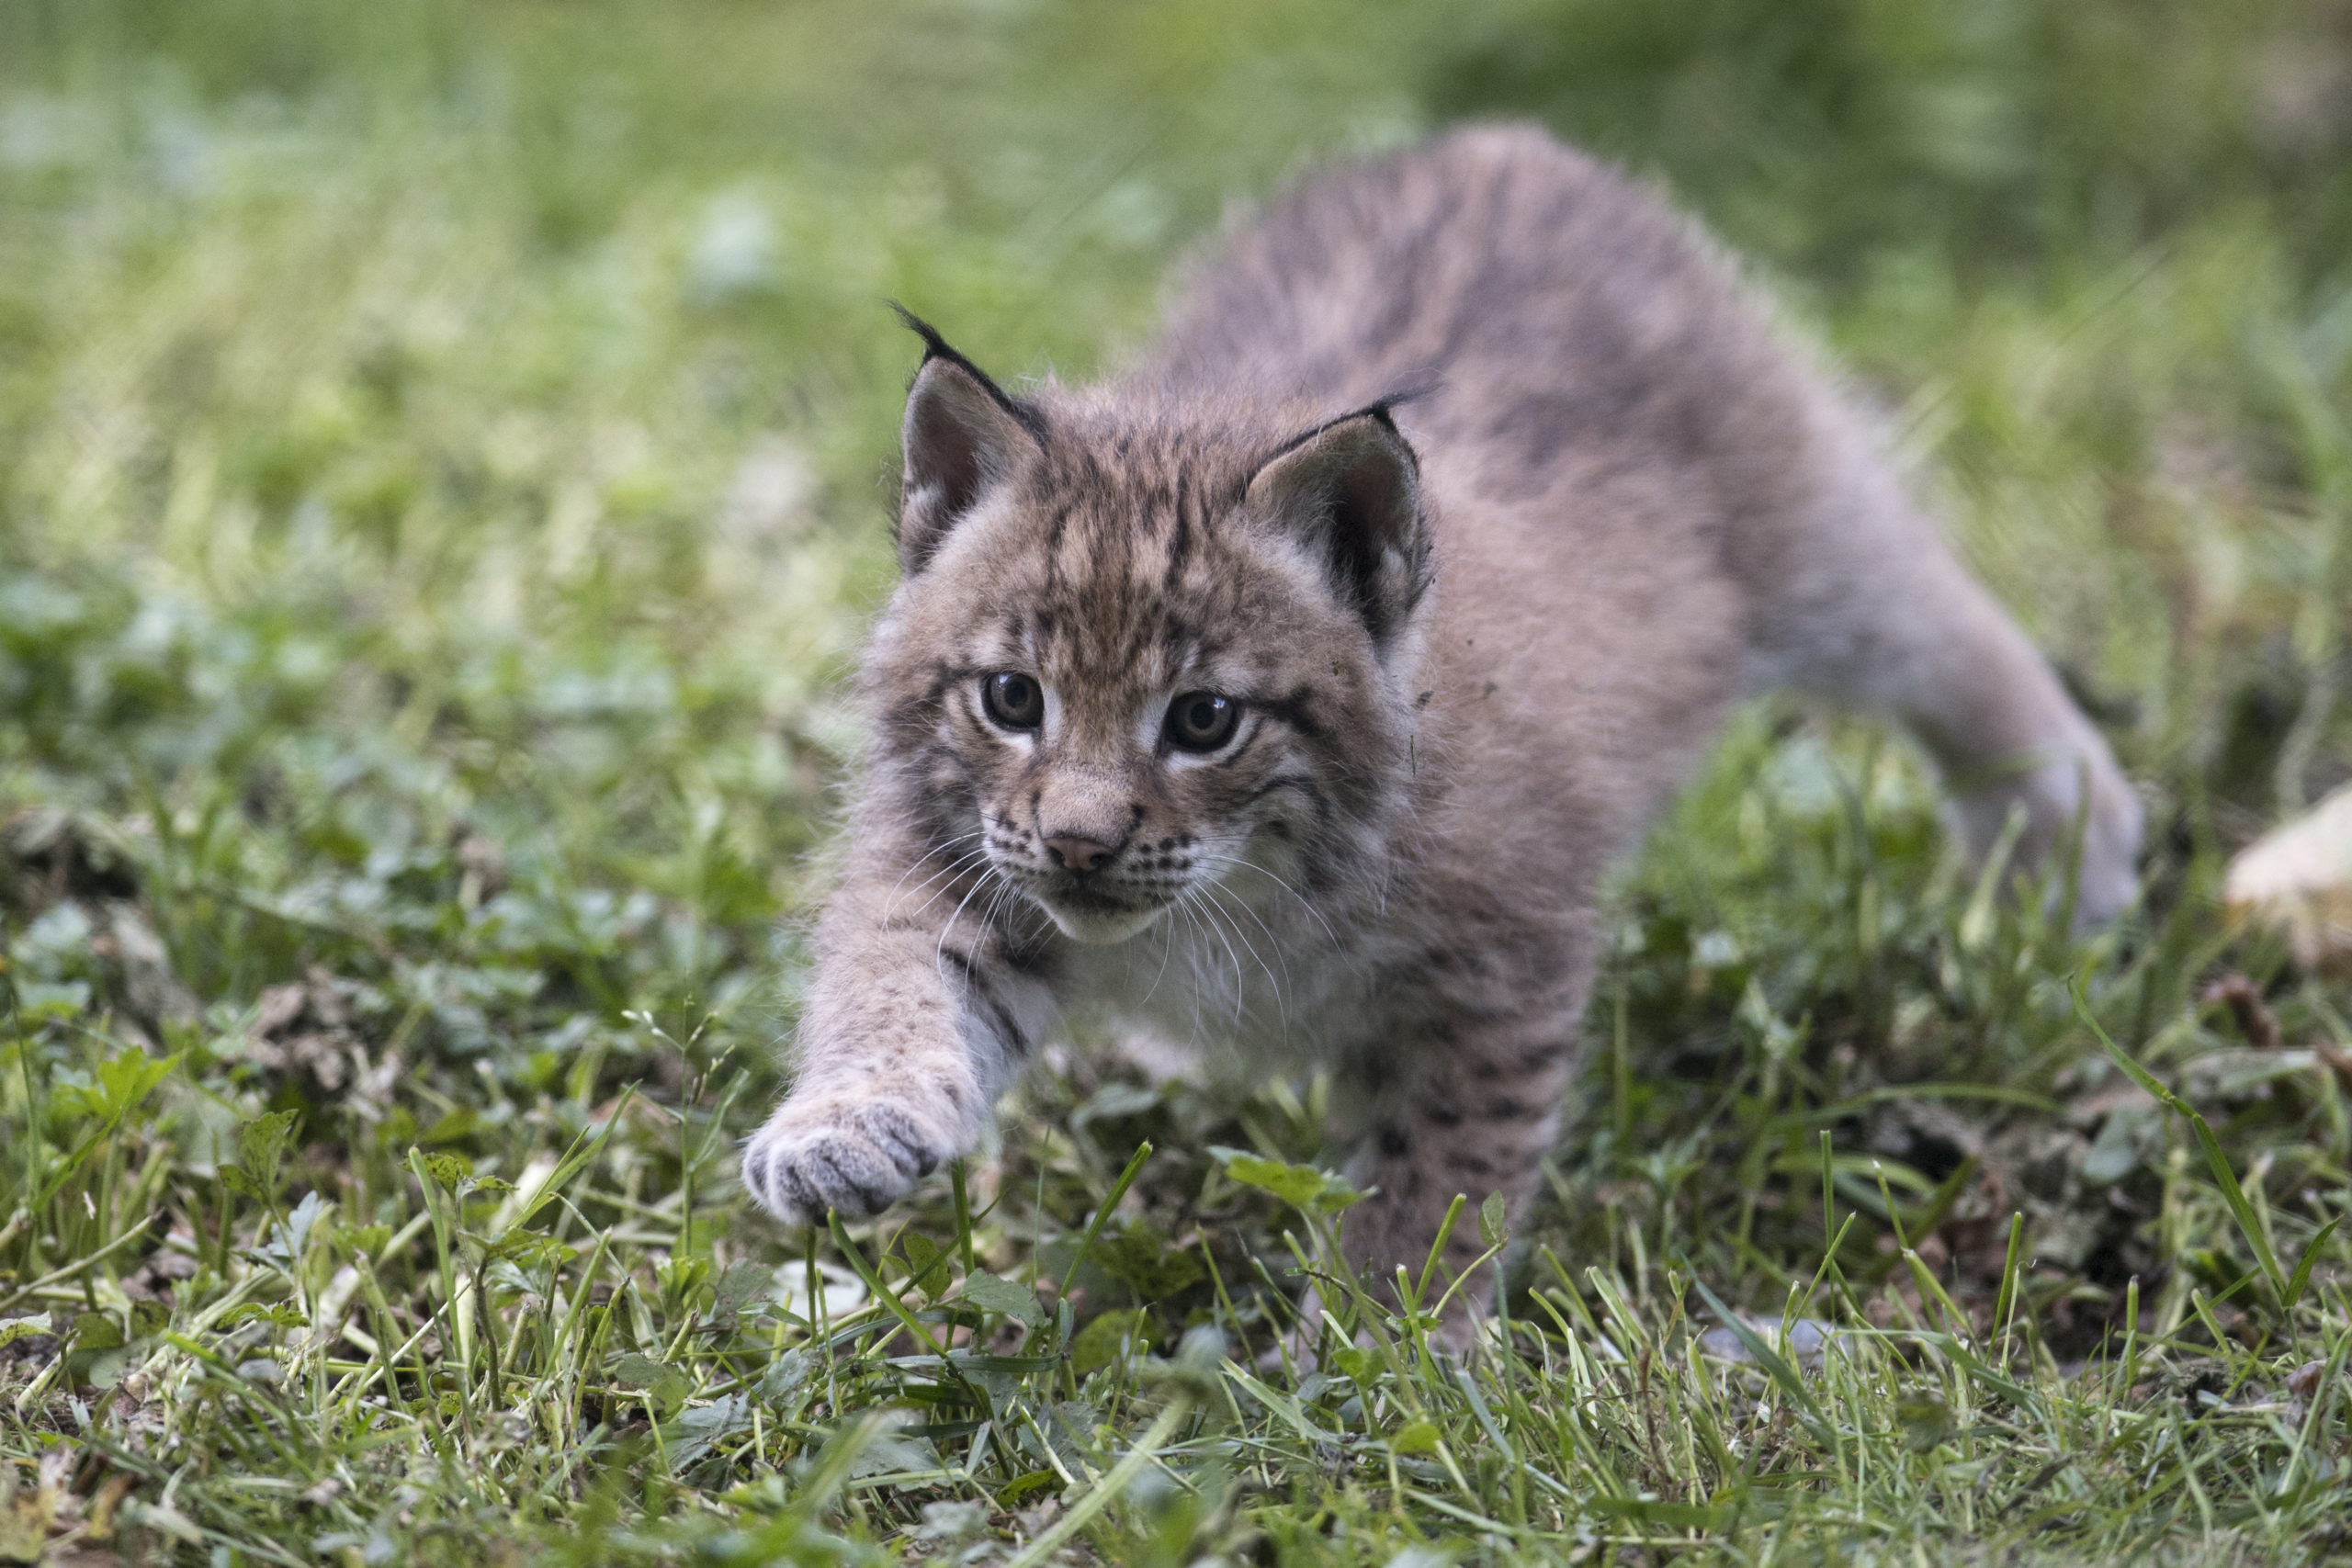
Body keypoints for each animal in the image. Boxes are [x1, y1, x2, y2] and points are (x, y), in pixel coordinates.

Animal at [742, 129, 2144, 1344]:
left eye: (1203, 720)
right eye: (1012, 699)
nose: (1082, 846)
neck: (1242, 884)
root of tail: (1500, 145)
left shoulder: (1499, 958)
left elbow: (1445, 1162)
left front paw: (1385, 1348)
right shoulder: (956, 843)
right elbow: (889, 969)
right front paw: (847, 1123)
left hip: (1805, 526)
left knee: (1946, 620)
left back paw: (2069, 842)